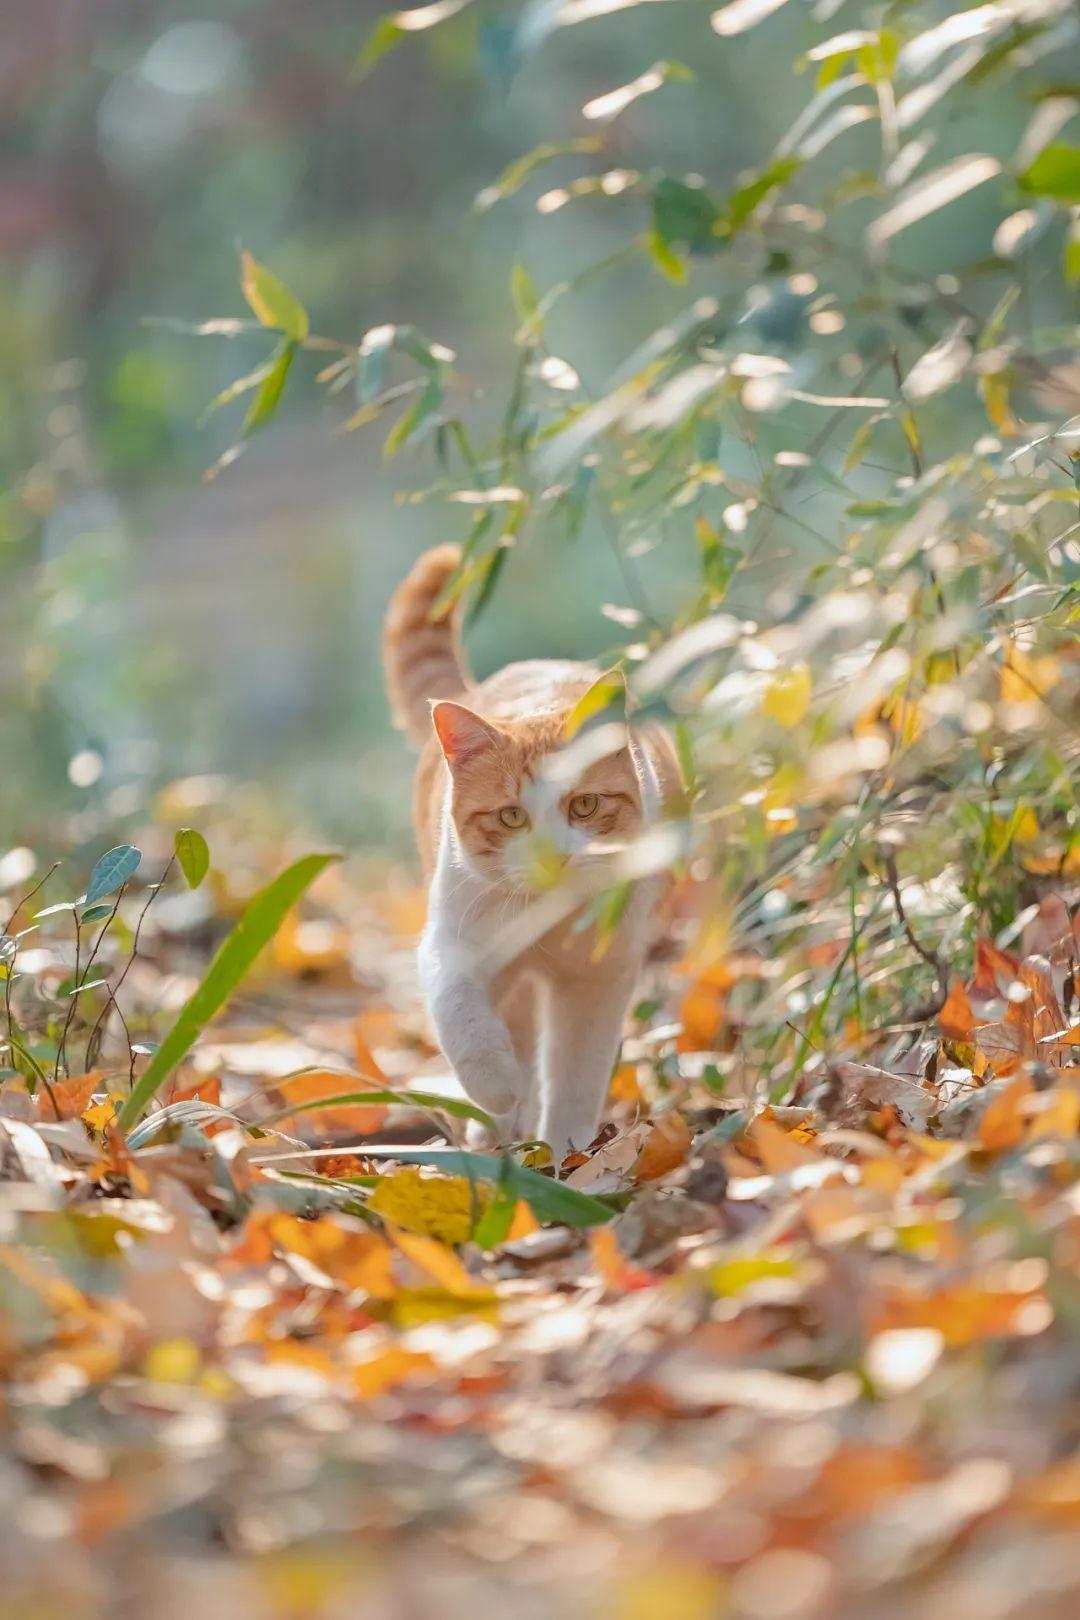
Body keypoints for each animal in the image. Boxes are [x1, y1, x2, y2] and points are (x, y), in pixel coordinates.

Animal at [383, 544, 680, 1166]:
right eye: (511, 817)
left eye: (584, 805)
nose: (551, 858)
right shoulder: (454, 944)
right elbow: (461, 1018)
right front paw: (496, 1086)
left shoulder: (598, 977)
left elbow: (576, 1072)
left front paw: (569, 1149)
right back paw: (497, 1126)